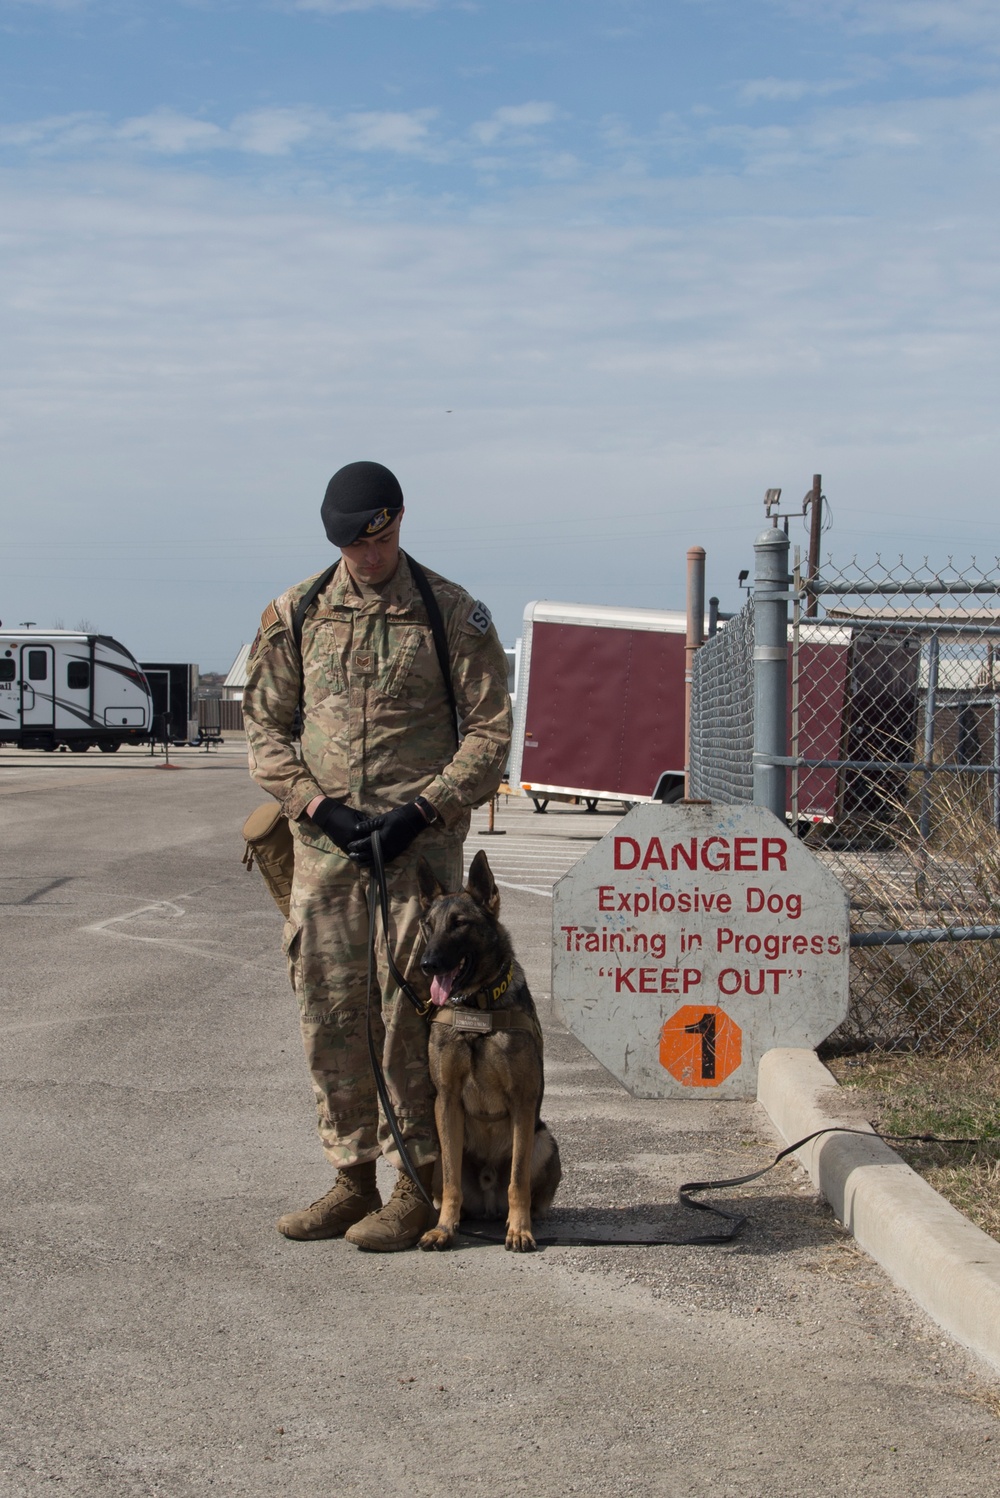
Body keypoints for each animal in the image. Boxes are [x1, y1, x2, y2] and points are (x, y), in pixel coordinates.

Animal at [413, 856, 559, 1252]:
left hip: (544, 1140)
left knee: (522, 1186)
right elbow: (452, 1185)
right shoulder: (446, 1100)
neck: (477, 1007)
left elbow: (518, 1181)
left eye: (459, 924)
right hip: (439, 1151)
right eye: (428, 926)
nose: (427, 964)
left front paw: (520, 1230)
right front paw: (444, 1229)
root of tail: (488, 1200)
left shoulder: (523, 1101)